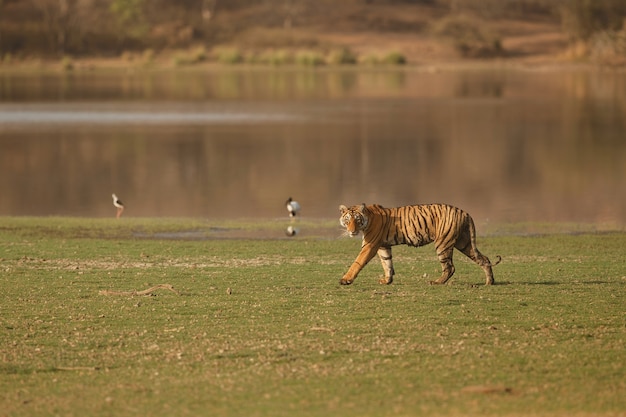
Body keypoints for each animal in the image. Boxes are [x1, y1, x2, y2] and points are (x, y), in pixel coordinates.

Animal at [338, 202, 500, 286]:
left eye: (357, 220)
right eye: (347, 220)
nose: (352, 231)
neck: (368, 219)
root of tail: (464, 212)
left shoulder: (369, 245)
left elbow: (357, 262)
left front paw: (345, 279)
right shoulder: (383, 246)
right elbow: (387, 263)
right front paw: (387, 280)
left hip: (443, 243)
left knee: (450, 267)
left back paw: (436, 282)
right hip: (464, 243)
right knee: (484, 259)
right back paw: (489, 282)